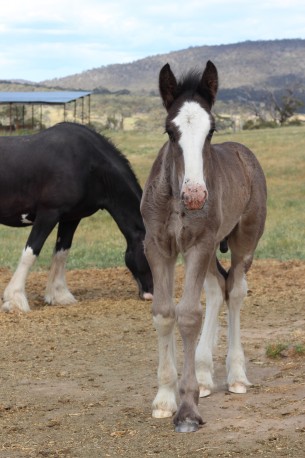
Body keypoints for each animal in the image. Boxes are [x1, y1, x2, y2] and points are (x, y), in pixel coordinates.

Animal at [0, 121, 152, 312]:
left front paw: (59, 295)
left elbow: (62, 252)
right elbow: (31, 252)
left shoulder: (71, 218)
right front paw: (15, 300)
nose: (151, 295)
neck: (86, 163)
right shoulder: (48, 213)